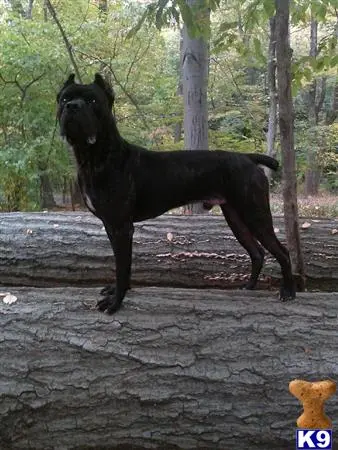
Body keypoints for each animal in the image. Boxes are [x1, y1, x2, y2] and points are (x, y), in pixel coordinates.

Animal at [56, 73, 294, 312]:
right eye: (64, 98)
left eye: (93, 101)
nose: (72, 106)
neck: (95, 156)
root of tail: (248, 158)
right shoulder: (111, 226)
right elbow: (121, 263)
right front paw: (116, 292)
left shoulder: (121, 227)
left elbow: (122, 266)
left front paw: (116, 302)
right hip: (236, 217)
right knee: (257, 252)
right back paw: (250, 286)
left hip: (254, 214)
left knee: (282, 252)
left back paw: (289, 292)